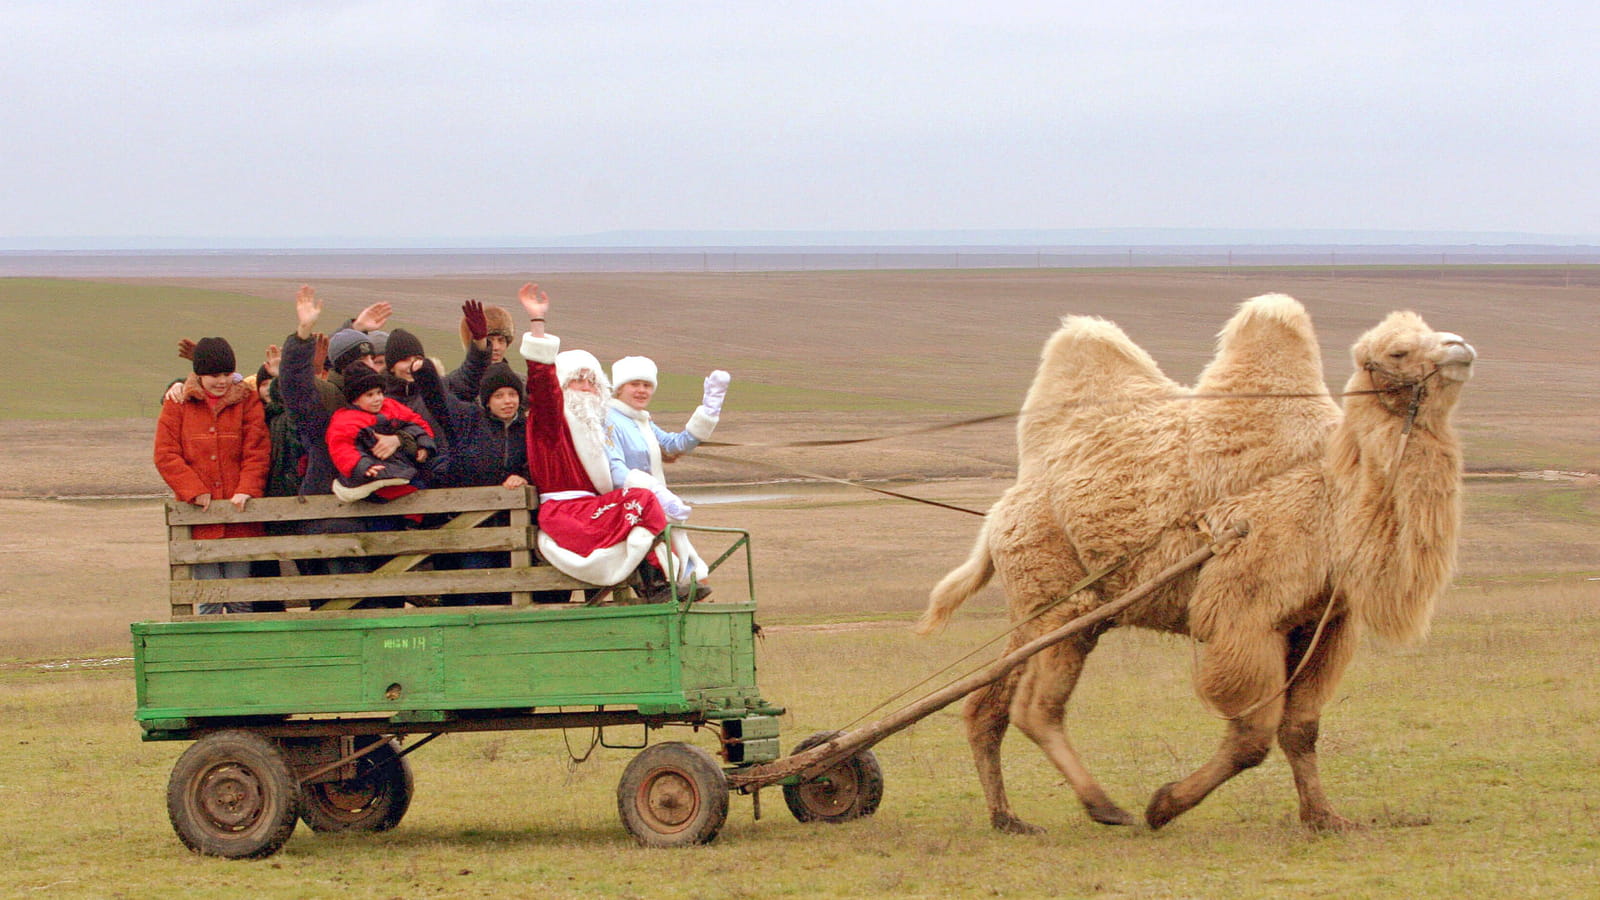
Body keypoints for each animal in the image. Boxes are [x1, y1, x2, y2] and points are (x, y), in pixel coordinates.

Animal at [916, 294, 1475, 834]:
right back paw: (1105, 807)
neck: (1332, 502)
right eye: (1399, 351)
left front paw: (1325, 818)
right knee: (1036, 708)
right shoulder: (1244, 614)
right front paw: (1164, 806)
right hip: (1062, 601)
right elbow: (1252, 736)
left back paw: (1008, 818)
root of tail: (997, 516)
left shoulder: (1326, 624)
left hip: (1042, 609)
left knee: (986, 705)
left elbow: (1301, 729)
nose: (1461, 346)